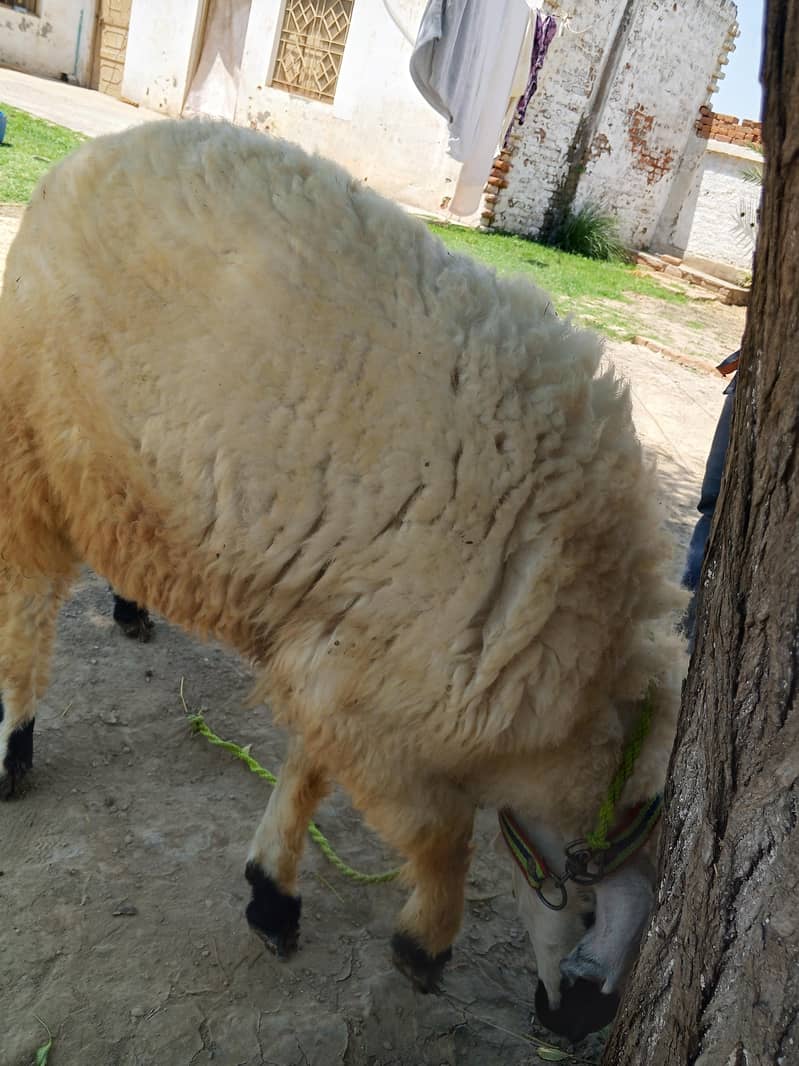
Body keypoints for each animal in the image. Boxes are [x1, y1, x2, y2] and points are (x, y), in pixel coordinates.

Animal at [0, 119, 686, 1037]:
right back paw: (14, 743)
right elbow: (445, 836)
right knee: (27, 600)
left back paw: (131, 606)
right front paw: (423, 943)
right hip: (34, 441)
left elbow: (309, 772)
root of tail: (91, 152)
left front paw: (270, 891)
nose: (570, 1032)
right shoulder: (384, 706)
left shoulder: (347, 659)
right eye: (587, 918)